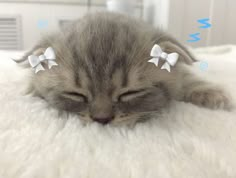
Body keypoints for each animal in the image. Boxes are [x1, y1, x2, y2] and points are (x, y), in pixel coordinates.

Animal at [18, 12, 232, 125]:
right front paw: (30, 88)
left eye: (130, 93)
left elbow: (188, 78)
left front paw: (213, 94)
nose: (102, 119)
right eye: (75, 94)